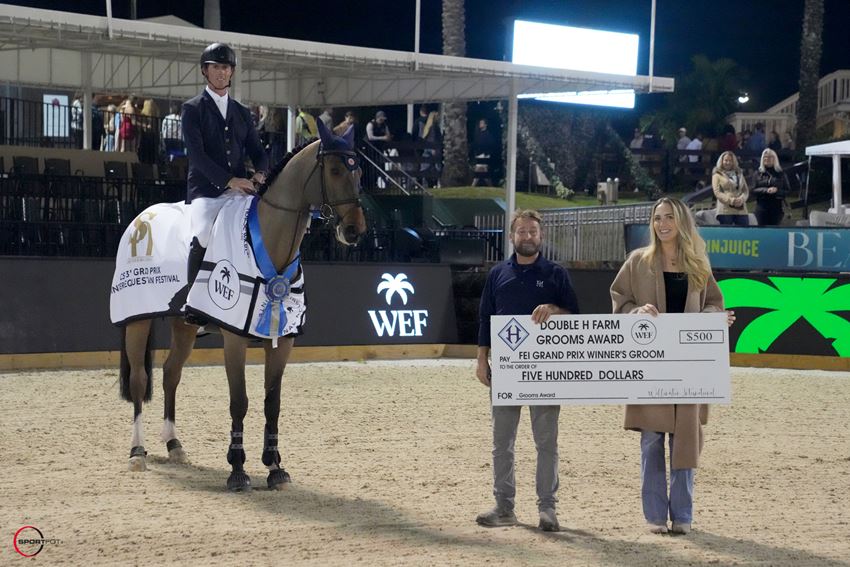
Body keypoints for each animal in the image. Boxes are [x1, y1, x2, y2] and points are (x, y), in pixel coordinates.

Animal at [109, 121, 364, 492]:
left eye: (359, 172)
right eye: (334, 170)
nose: (355, 231)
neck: (268, 243)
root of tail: (140, 217)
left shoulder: (283, 340)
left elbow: (272, 403)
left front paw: (275, 468)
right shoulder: (234, 338)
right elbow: (239, 401)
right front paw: (238, 469)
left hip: (183, 327)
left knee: (171, 374)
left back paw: (174, 444)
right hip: (136, 321)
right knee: (141, 381)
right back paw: (137, 452)